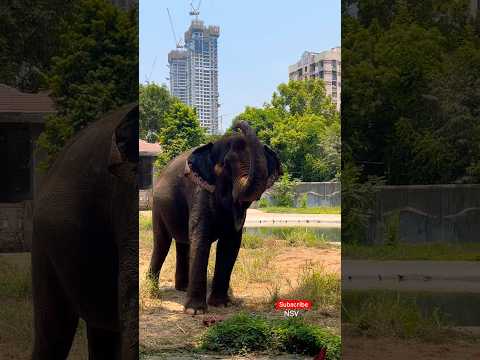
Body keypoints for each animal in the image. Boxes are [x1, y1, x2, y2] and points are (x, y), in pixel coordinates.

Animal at [147, 122, 282, 314]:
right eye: (225, 165)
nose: (238, 123)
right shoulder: (200, 191)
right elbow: (201, 240)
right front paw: (194, 311)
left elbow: (230, 243)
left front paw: (220, 304)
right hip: (157, 208)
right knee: (161, 243)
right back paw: (154, 293)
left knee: (183, 244)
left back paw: (182, 288)